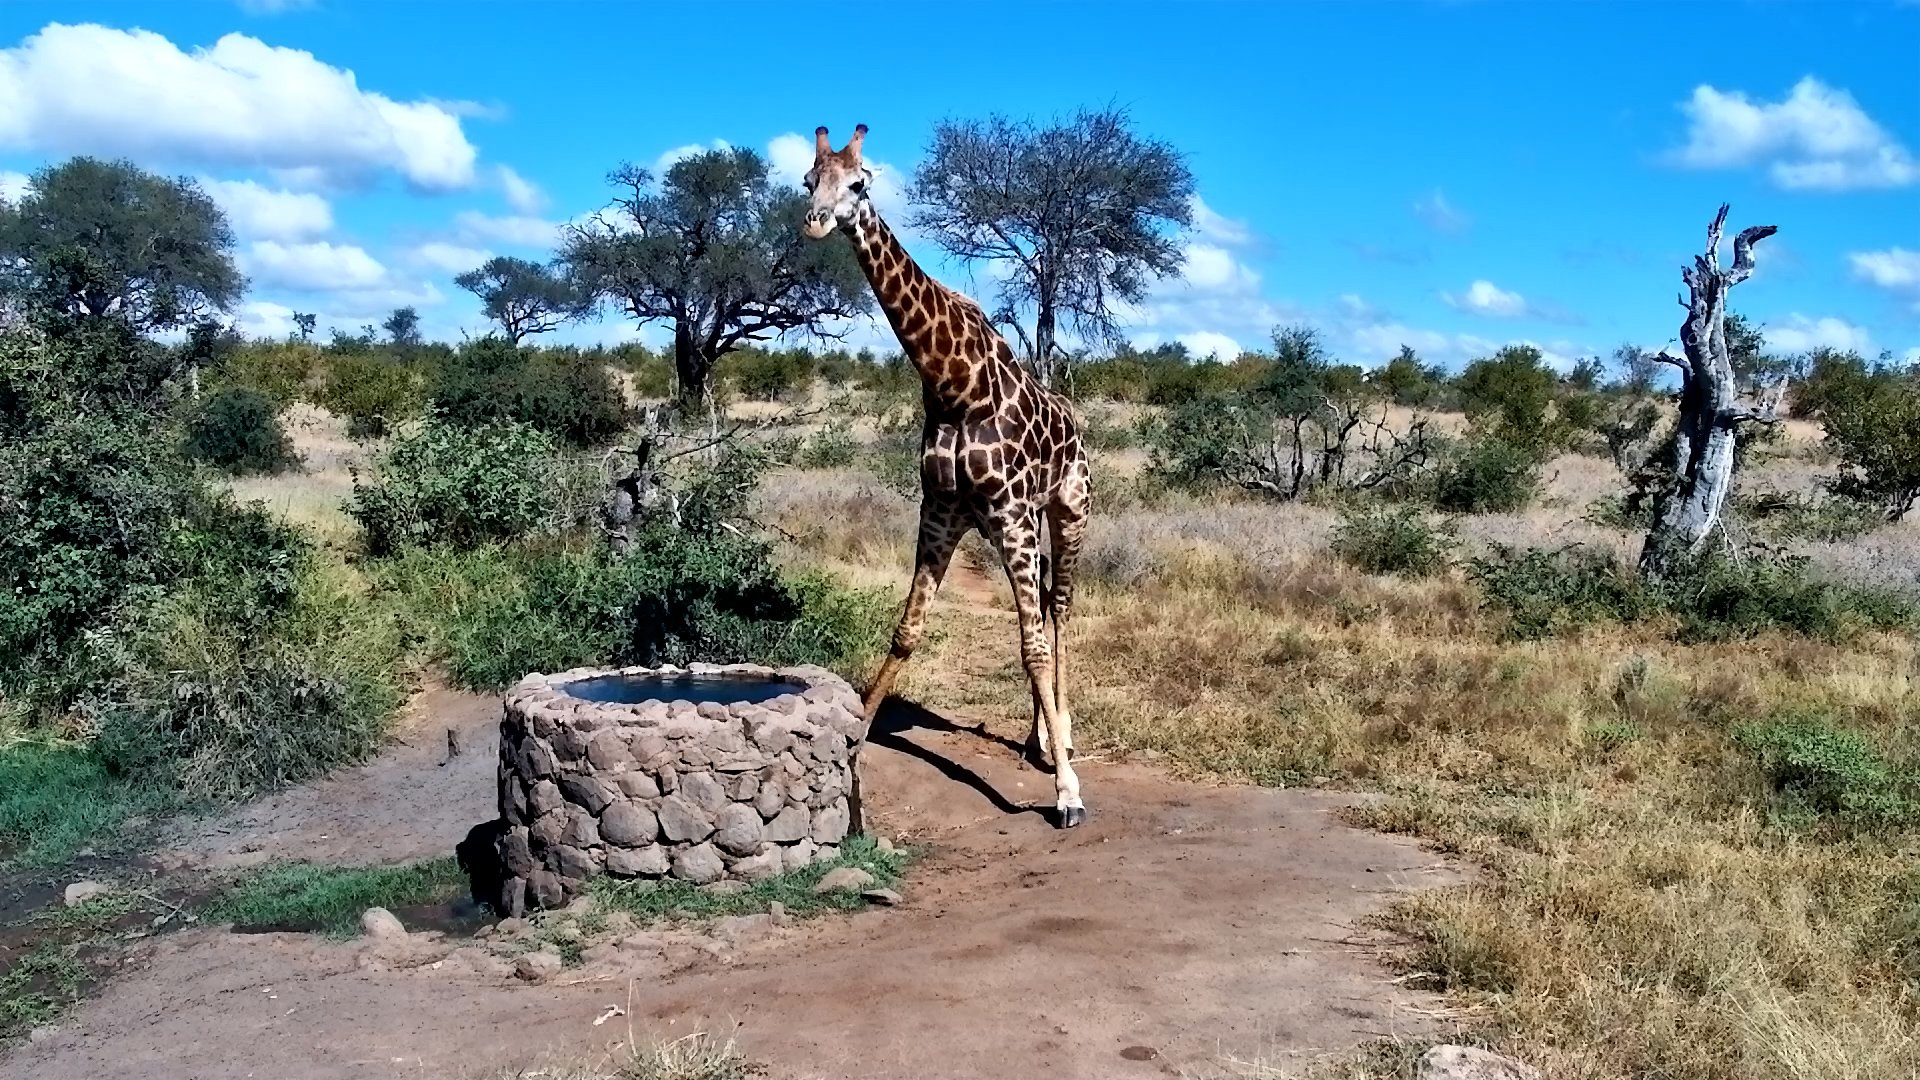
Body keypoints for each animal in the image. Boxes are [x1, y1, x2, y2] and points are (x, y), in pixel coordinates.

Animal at [801, 124, 1093, 829]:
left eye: (860, 184)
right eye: (808, 180)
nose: (816, 222)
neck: (952, 385)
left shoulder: (1010, 515)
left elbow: (1034, 646)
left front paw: (1068, 793)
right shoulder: (941, 511)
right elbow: (908, 632)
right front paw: (854, 749)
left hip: (1066, 512)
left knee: (1059, 611)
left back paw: (1063, 741)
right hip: (1020, 525)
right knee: (1043, 606)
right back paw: (1037, 738)